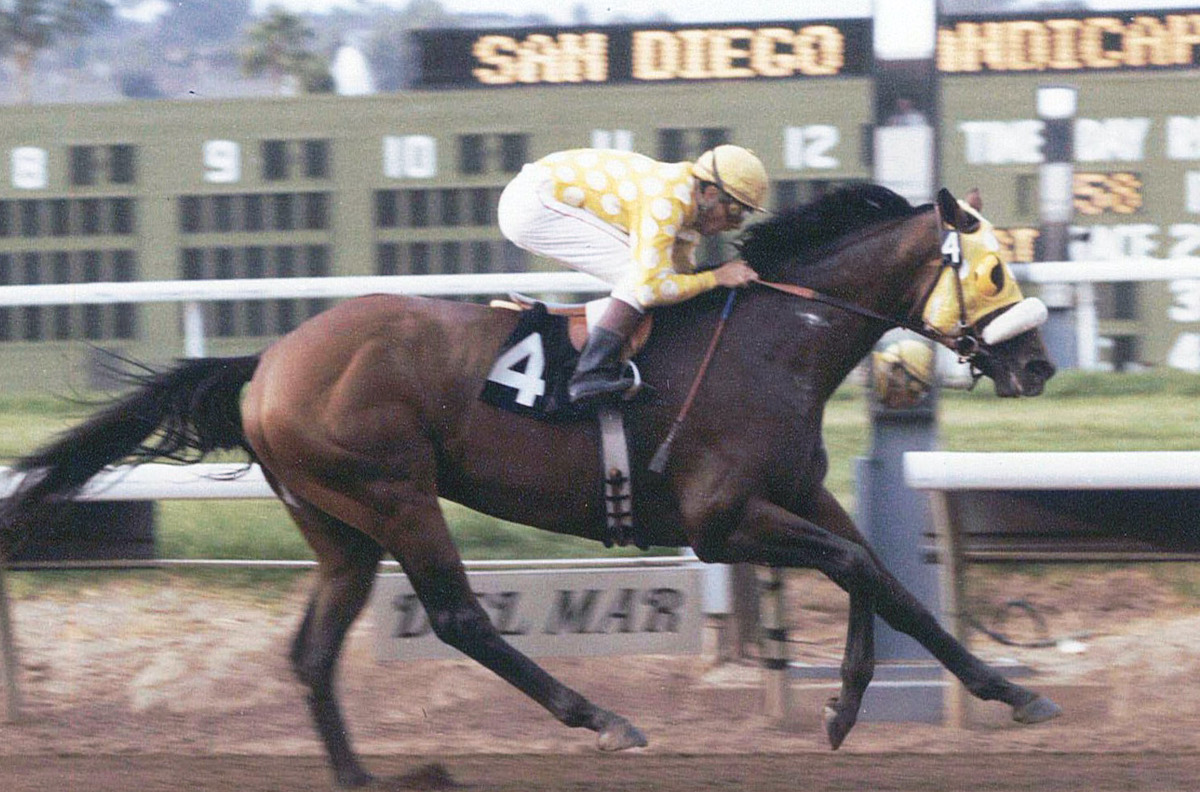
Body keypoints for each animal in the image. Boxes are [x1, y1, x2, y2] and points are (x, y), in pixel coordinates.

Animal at [7, 183, 1060, 787]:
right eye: (995, 269)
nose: (1039, 365)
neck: (778, 341)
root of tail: (267, 361)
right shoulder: (721, 521)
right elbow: (853, 566)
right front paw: (844, 705)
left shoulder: (798, 495)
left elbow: (886, 580)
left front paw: (1002, 693)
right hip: (395, 495)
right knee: (458, 619)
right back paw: (601, 719)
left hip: (339, 527)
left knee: (312, 654)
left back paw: (364, 778)